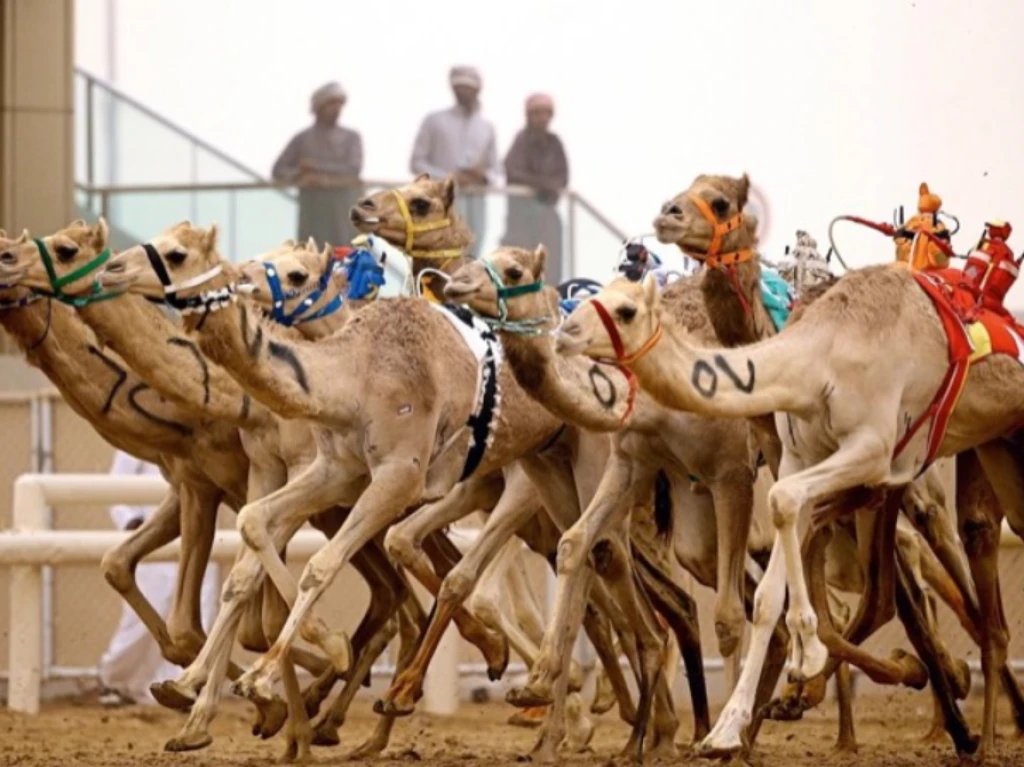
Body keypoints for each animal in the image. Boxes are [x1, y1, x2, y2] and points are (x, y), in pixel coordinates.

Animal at [553, 248, 1024, 758]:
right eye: (596, 297)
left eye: (626, 310)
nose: (565, 332)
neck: (820, 358)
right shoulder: (802, 456)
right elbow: (765, 591)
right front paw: (726, 730)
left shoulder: (873, 447)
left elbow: (782, 502)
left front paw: (807, 656)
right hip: (992, 448)